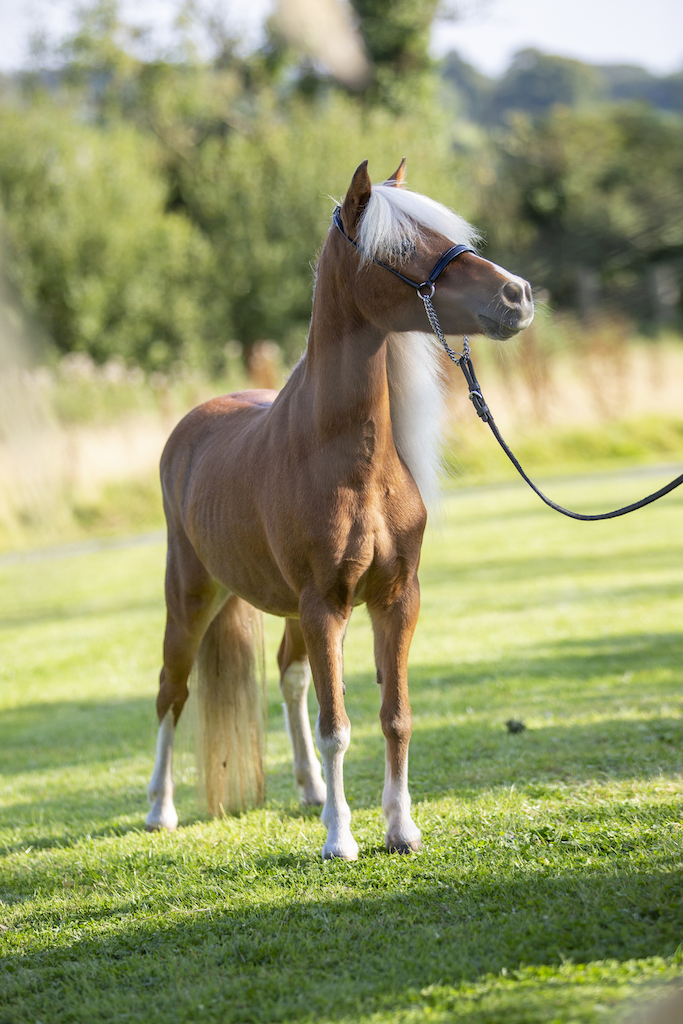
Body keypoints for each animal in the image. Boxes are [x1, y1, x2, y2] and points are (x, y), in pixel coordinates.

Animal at [145, 158, 534, 859]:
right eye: (401, 248)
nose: (516, 295)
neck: (348, 460)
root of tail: (193, 424)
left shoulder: (394, 598)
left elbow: (394, 716)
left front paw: (400, 828)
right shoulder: (324, 602)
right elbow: (338, 726)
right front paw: (340, 841)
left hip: (292, 609)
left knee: (289, 677)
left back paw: (311, 790)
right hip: (192, 596)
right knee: (173, 690)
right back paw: (160, 809)